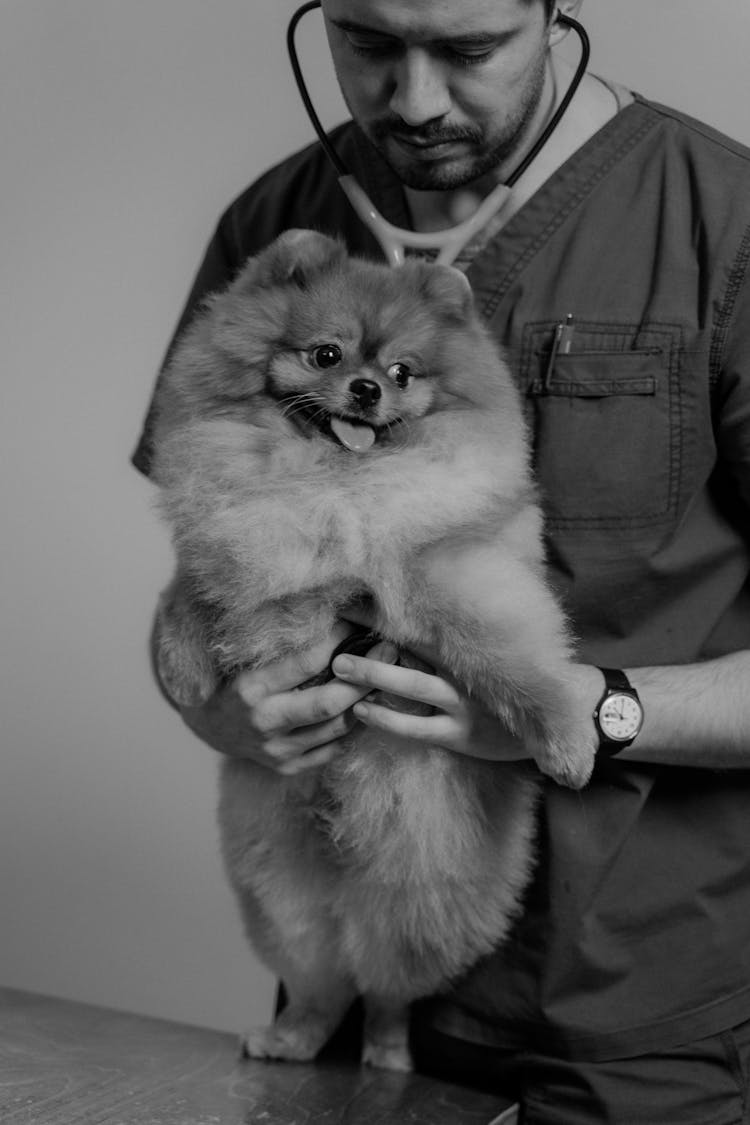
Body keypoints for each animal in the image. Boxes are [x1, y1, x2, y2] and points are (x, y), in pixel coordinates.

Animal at [152, 230, 598, 1071]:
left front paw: (566, 740)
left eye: (402, 372)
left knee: (390, 984)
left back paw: (388, 1052)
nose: (365, 390)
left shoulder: (445, 569)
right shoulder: (239, 548)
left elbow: (510, 656)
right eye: (325, 354)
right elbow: (192, 592)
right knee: (326, 977)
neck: (331, 481)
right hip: (282, 893)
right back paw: (293, 1036)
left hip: (422, 893)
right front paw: (182, 669)